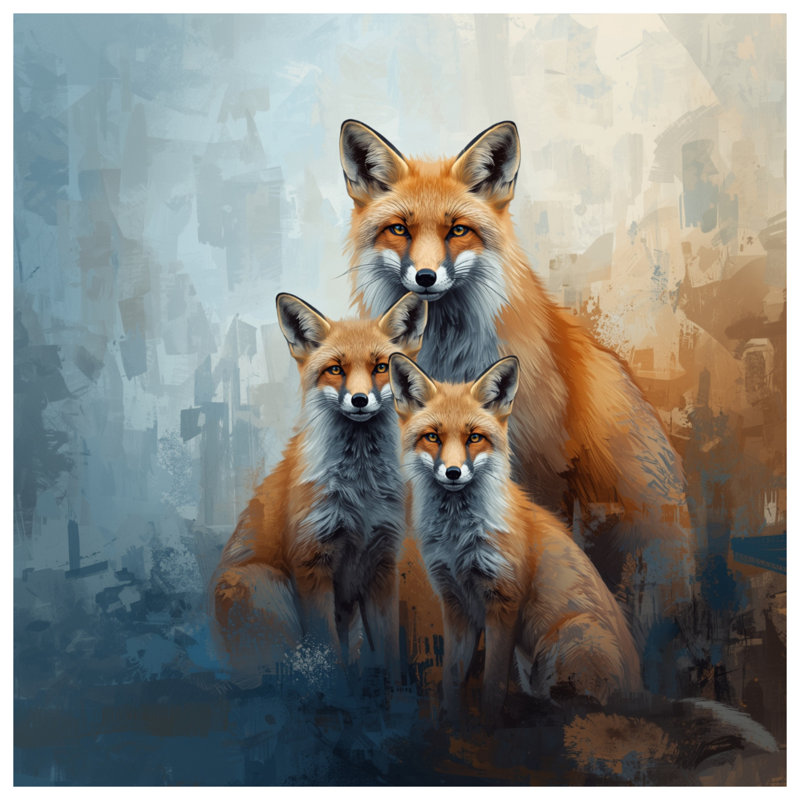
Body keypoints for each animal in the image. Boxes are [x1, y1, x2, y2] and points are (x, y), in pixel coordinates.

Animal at [211, 291, 427, 682]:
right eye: (336, 369)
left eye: (380, 367)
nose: (360, 400)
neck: (361, 492)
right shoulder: (311, 563)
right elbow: (329, 660)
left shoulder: (382, 567)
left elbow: (389, 655)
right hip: (264, 584)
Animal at [388, 352, 642, 726]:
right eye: (432, 437)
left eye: (474, 438)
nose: (453, 472)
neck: (458, 538)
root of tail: (640, 688)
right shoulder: (455, 603)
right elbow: (452, 678)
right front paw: (452, 723)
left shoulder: (504, 601)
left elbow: (493, 684)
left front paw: (488, 727)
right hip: (533, 666)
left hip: (572, 639)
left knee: (586, 707)